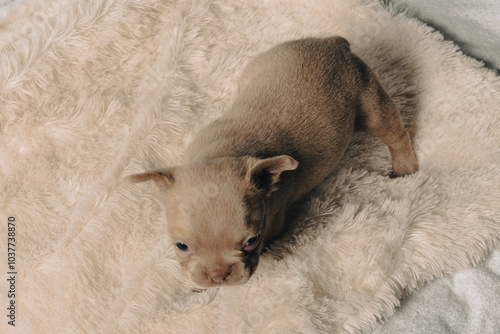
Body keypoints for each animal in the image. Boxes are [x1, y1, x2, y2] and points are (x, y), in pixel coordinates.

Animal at [128, 35, 418, 288]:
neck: (226, 151)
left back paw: (406, 168)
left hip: (370, 100)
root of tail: (334, 43)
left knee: (396, 134)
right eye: (181, 245)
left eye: (252, 241)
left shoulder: (274, 221)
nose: (217, 275)